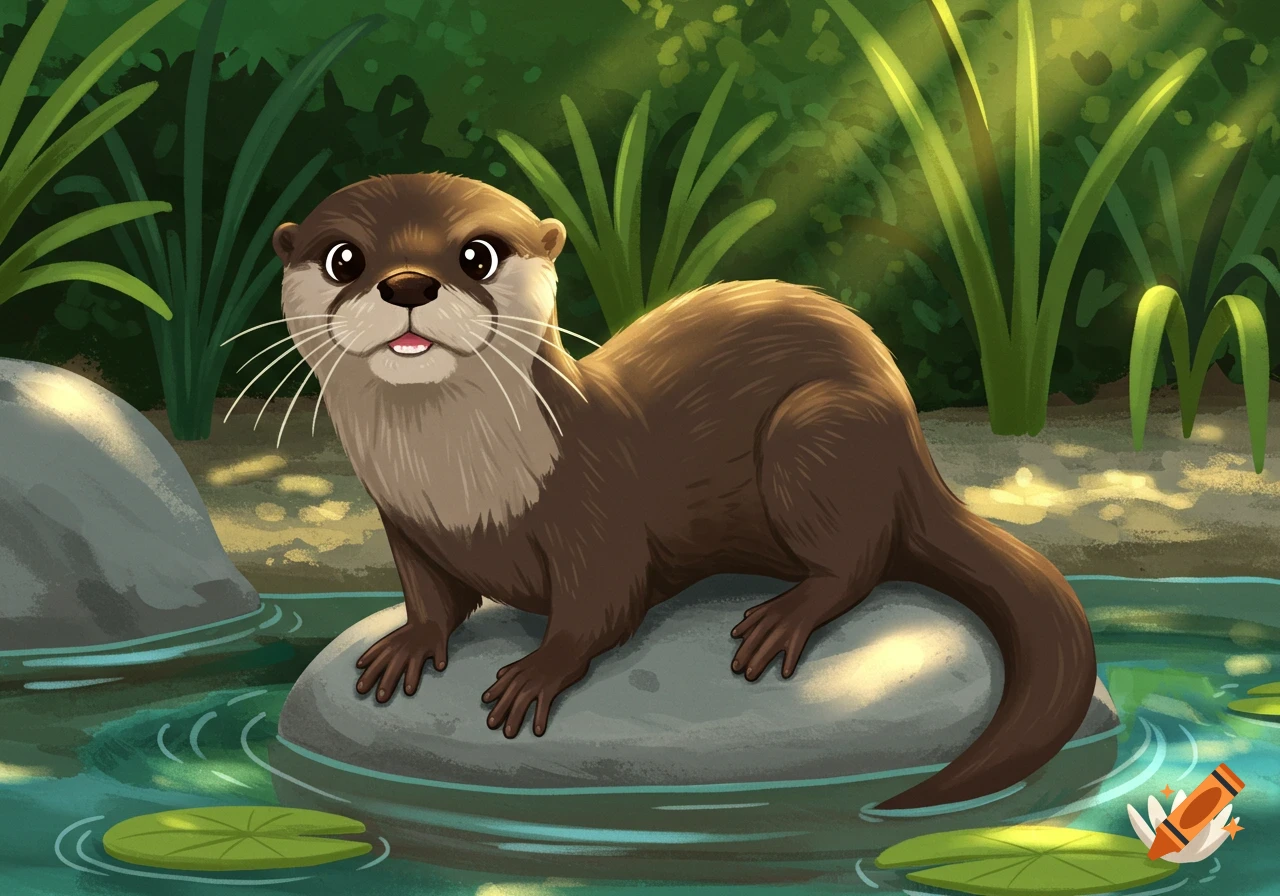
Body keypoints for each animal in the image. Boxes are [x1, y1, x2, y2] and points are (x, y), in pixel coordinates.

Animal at [271, 172, 1096, 810]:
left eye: (478, 253)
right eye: (345, 258)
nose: (407, 283)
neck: (462, 486)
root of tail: (912, 442)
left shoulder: (592, 507)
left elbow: (604, 602)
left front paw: (537, 672)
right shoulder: (405, 522)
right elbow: (431, 596)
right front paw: (406, 645)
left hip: (818, 434)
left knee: (860, 557)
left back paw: (786, 616)